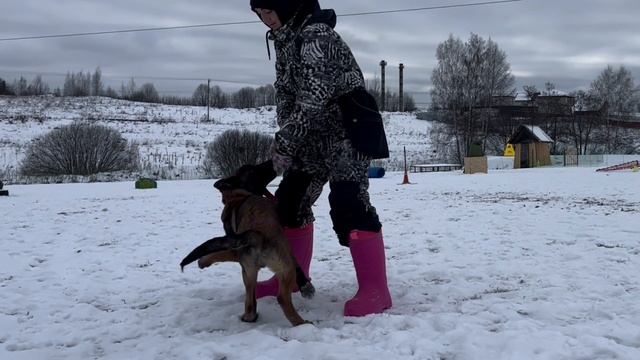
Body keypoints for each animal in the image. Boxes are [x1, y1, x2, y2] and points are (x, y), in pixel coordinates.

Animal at [180, 160, 316, 326]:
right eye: (254, 169)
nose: (272, 161)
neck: (237, 194)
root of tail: (258, 235)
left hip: (251, 271)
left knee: (254, 299)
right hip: (269, 266)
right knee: (278, 297)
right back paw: (301, 323)